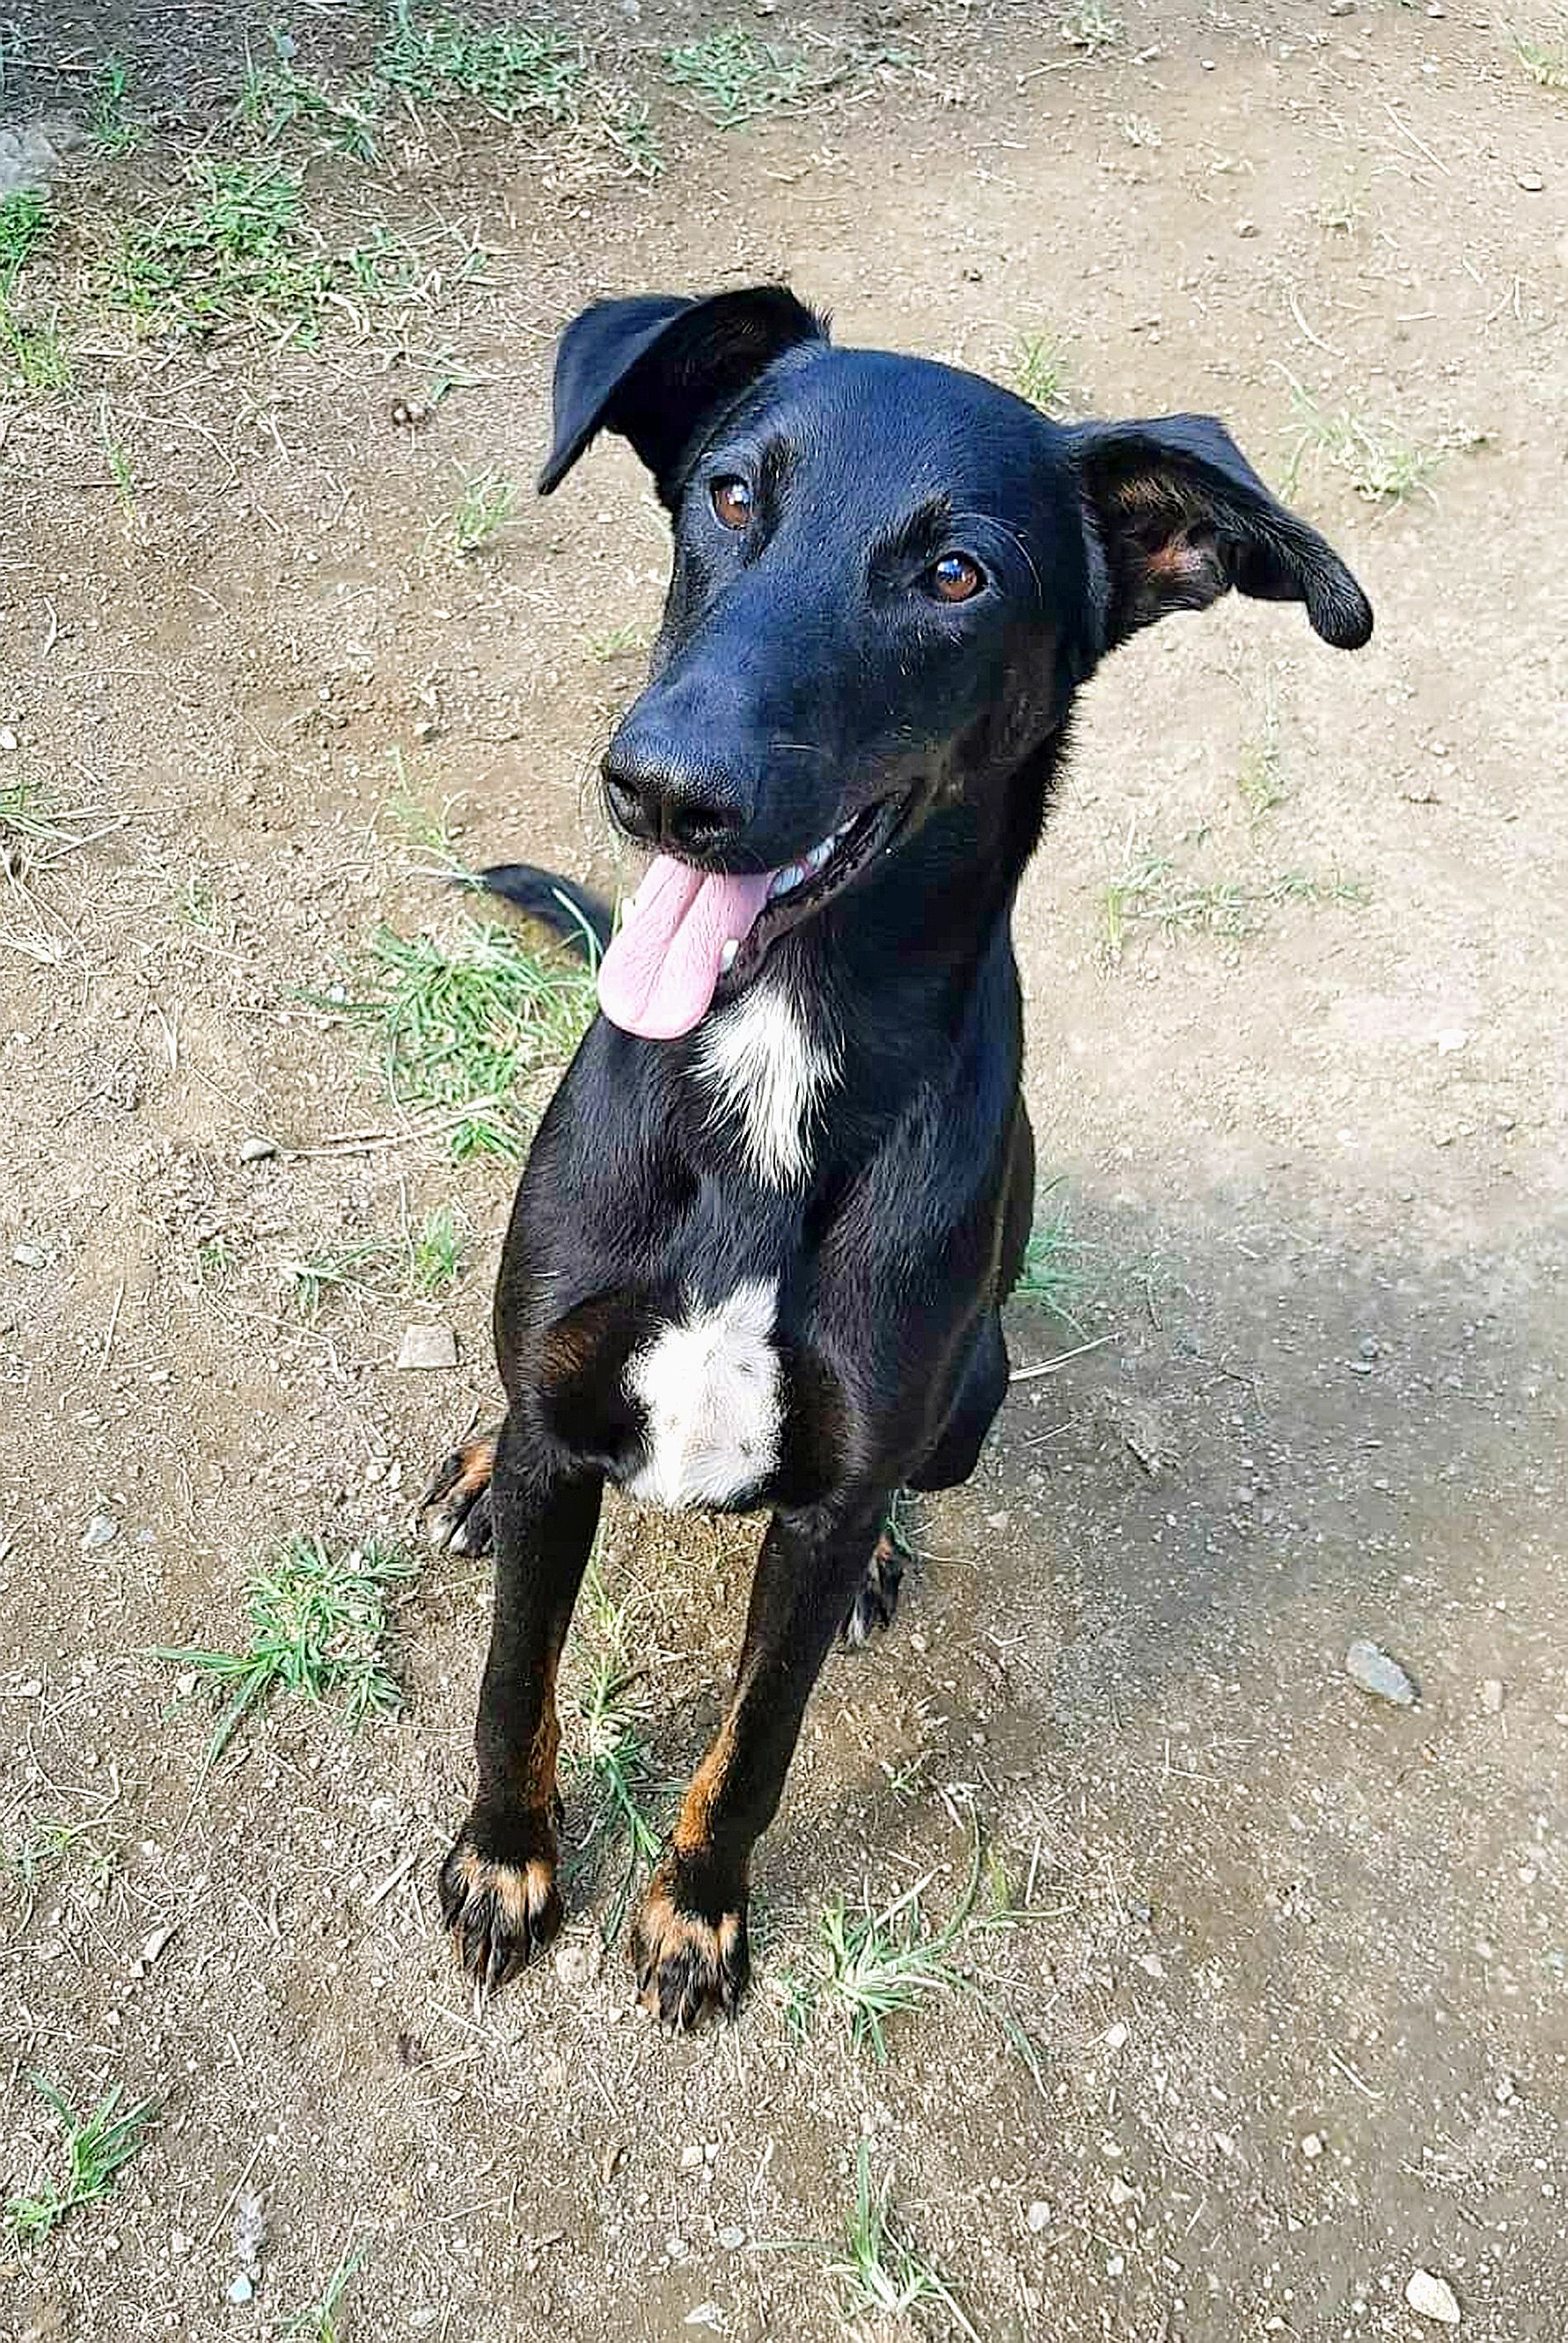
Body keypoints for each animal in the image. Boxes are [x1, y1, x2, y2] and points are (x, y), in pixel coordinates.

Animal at [419, 278, 1368, 2033]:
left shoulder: (839, 1484)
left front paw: (696, 1915)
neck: (773, 1058)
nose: (658, 788)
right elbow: (515, 1680)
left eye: (954, 574)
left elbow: (755, 1742)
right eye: (731, 495)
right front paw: (506, 1862)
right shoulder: (562, 1412)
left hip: (970, 1401)